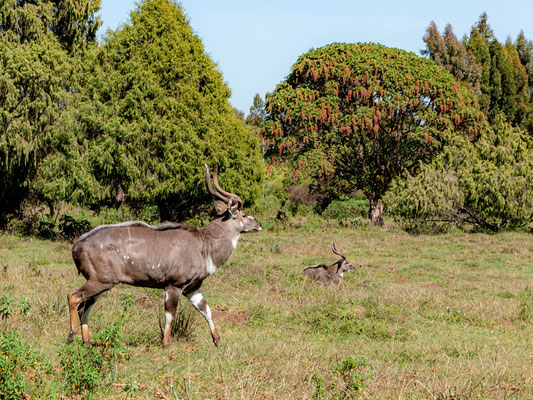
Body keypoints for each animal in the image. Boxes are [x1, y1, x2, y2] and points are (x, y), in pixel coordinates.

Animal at [66, 164, 262, 348]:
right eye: (244, 215)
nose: (259, 224)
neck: (203, 245)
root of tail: (78, 246)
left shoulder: (192, 288)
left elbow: (206, 309)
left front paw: (217, 341)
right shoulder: (174, 285)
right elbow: (170, 314)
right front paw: (166, 343)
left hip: (102, 285)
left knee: (84, 307)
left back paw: (87, 342)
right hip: (101, 281)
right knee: (73, 297)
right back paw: (71, 336)